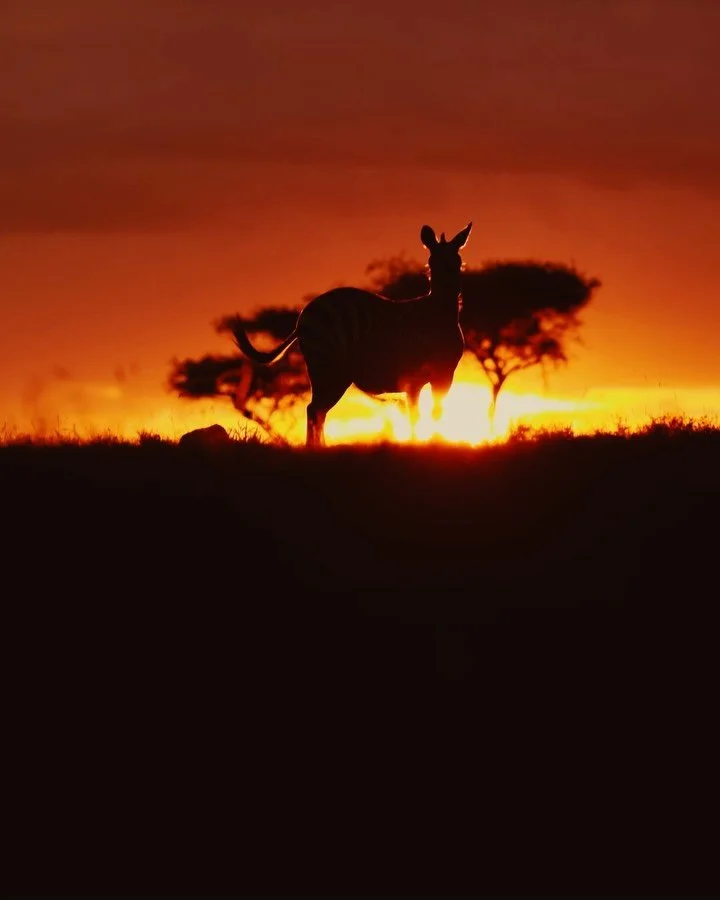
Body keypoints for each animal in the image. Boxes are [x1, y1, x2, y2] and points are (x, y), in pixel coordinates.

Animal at [230, 222, 472, 447]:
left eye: (458, 262)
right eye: (432, 264)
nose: (450, 293)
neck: (437, 315)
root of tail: (303, 316)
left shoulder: (431, 377)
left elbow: (424, 413)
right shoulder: (429, 376)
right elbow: (424, 413)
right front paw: (426, 443)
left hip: (325, 370)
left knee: (317, 411)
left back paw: (322, 447)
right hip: (328, 366)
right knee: (314, 409)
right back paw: (315, 448)